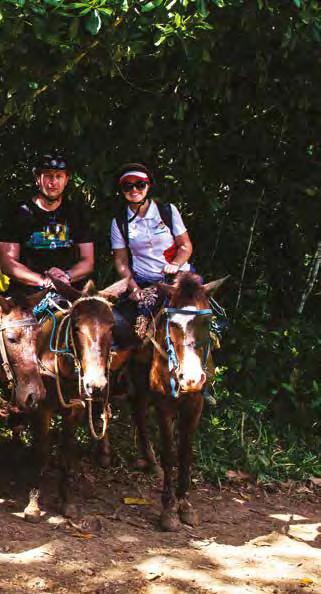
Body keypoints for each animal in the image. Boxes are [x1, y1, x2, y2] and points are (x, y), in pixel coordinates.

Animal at [23, 276, 127, 520]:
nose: (96, 385)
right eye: (77, 326)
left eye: (112, 327)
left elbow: (69, 448)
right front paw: (33, 502)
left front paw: (67, 499)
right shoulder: (42, 408)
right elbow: (42, 449)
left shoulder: (76, 410)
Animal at [126, 270, 226, 528]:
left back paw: (151, 463)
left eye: (207, 321)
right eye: (172, 323)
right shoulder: (165, 406)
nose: (191, 379)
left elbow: (185, 452)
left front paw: (185, 504)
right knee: (138, 412)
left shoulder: (195, 405)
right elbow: (170, 453)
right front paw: (169, 508)